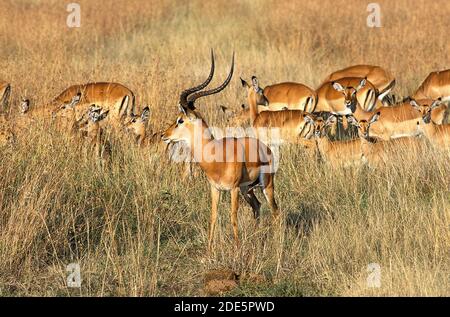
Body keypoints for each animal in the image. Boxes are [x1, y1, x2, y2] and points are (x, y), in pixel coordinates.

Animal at [160, 51, 280, 251]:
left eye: (180, 120)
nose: (164, 135)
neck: (216, 156)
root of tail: (266, 149)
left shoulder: (232, 189)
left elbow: (233, 217)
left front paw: (237, 249)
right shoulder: (215, 189)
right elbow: (213, 216)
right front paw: (209, 250)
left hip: (265, 185)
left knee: (275, 211)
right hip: (247, 189)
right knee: (257, 207)